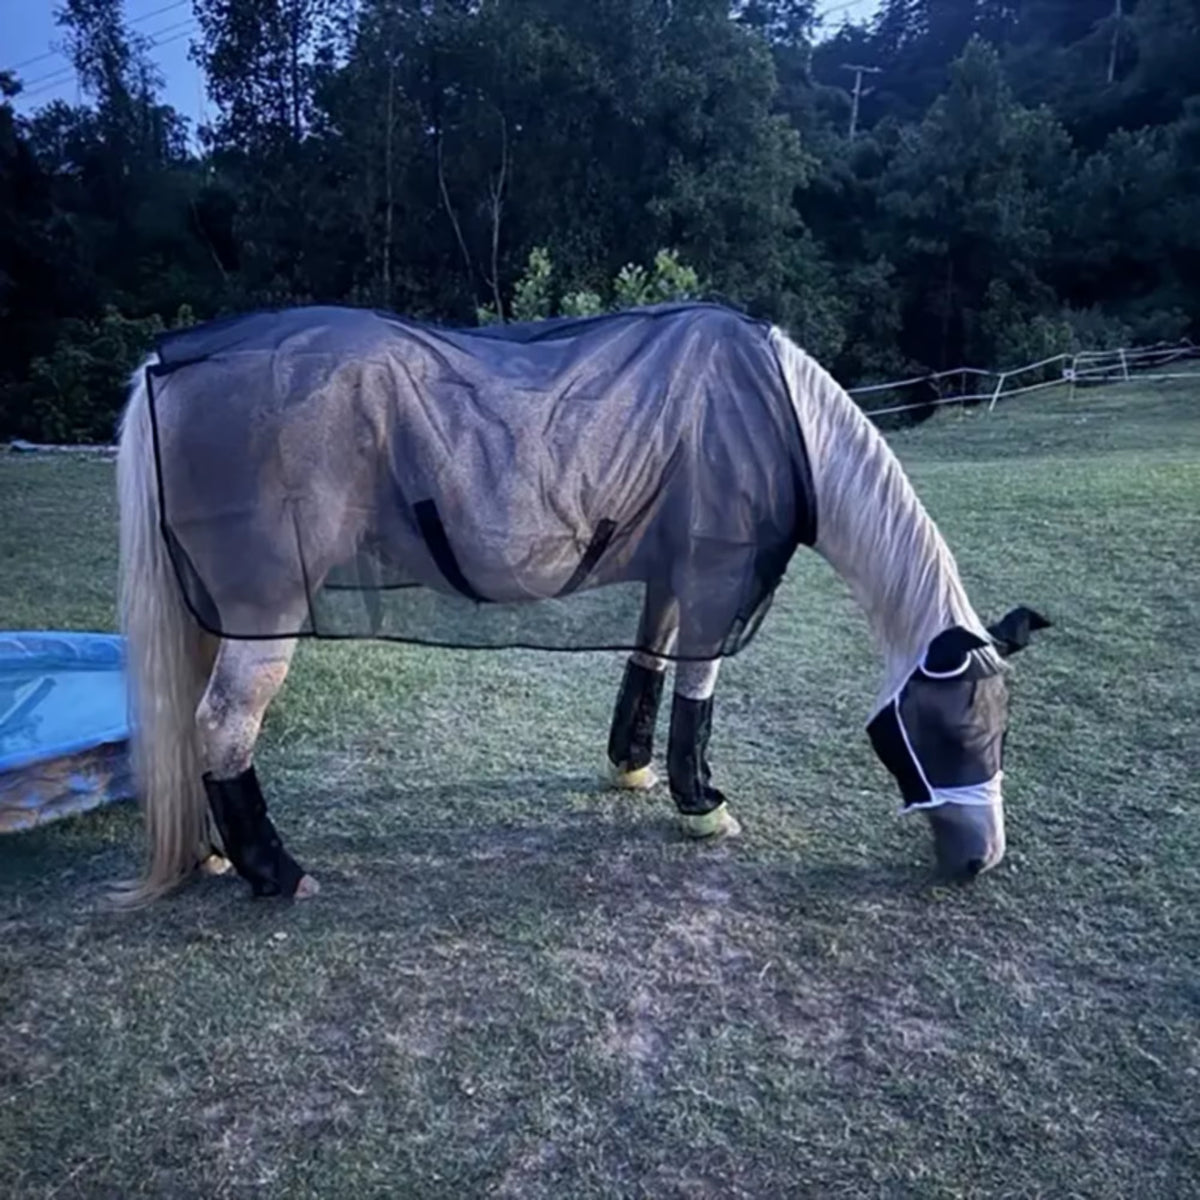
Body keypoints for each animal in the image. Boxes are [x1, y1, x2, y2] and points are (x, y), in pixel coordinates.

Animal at [113, 301, 1049, 904]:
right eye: (961, 730)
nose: (981, 861)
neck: (781, 418)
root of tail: (169, 363)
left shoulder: (670, 576)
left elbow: (649, 666)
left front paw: (631, 769)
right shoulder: (716, 580)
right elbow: (699, 690)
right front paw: (702, 807)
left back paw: (216, 857)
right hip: (263, 613)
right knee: (222, 724)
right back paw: (276, 873)